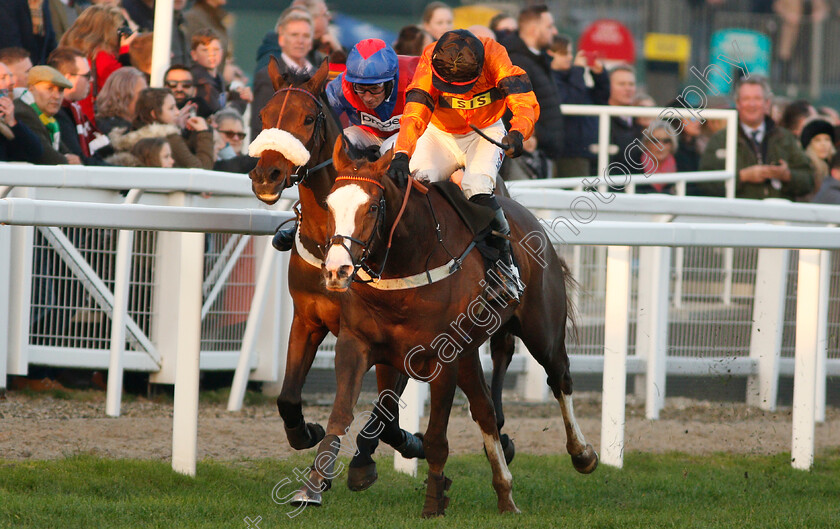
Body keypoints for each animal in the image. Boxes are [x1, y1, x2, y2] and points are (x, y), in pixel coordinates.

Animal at [246, 59, 424, 472]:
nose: (266, 176)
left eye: (309, 118)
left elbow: (385, 406)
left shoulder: (373, 333)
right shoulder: (307, 318)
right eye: (263, 116)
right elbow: (287, 397)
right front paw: (306, 432)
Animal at [290, 139, 596, 516]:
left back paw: (582, 454)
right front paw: (312, 487)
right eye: (329, 204)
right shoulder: (358, 344)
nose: (336, 270)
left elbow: (436, 437)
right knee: (485, 409)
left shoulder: (443, 357)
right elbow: (342, 414)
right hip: (470, 353)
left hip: (543, 331)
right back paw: (505, 494)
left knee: (560, 378)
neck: (409, 259)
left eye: (373, 207)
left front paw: (433, 502)